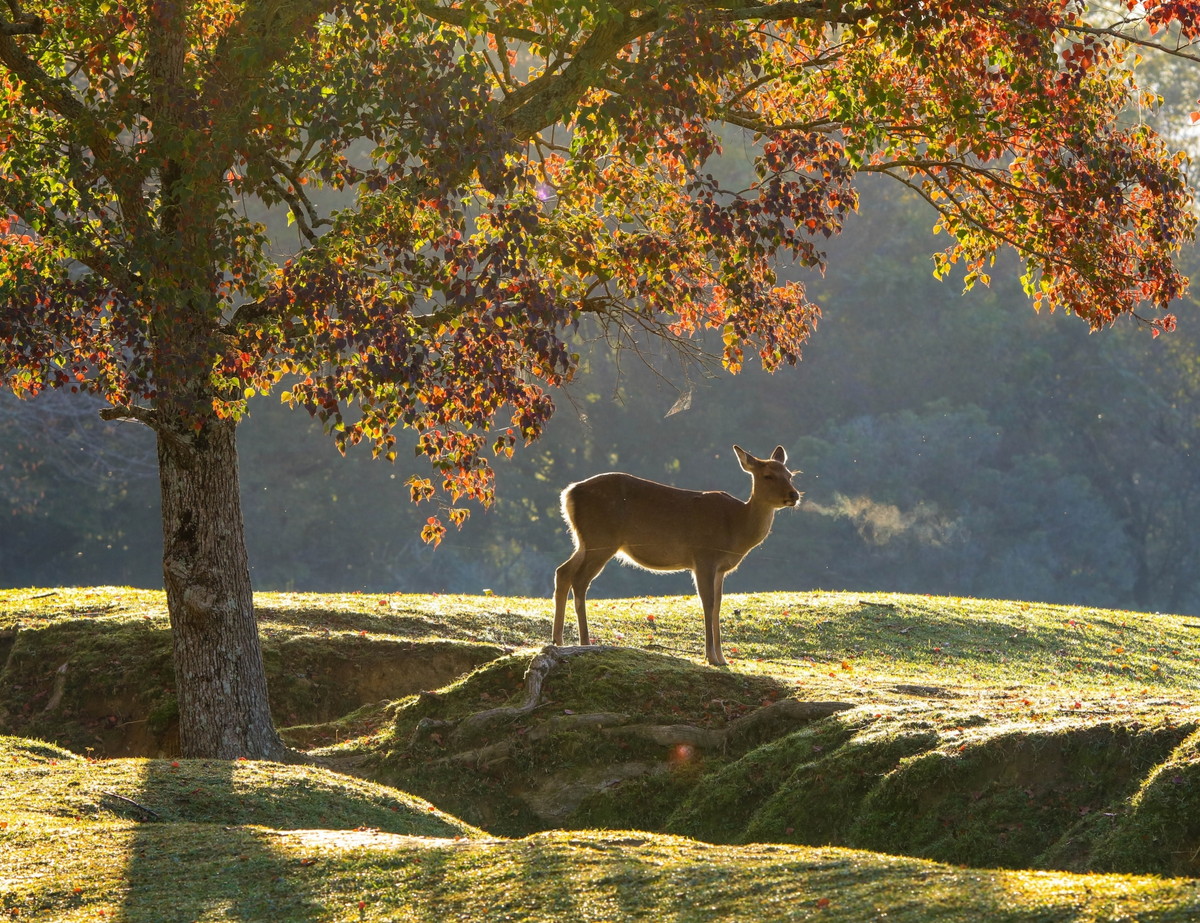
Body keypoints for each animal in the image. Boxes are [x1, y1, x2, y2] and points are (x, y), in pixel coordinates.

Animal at [549, 444, 796, 662]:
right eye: (767, 476)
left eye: (790, 475)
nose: (794, 495)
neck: (736, 527)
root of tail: (569, 493)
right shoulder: (703, 556)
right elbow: (708, 603)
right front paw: (711, 657)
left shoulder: (720, 568)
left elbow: (718, 605)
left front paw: (723, 658)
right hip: (601, 539)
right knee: (579, 580)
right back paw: (584, 642)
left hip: (584, 541)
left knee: (563, 571)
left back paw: (558, 641)